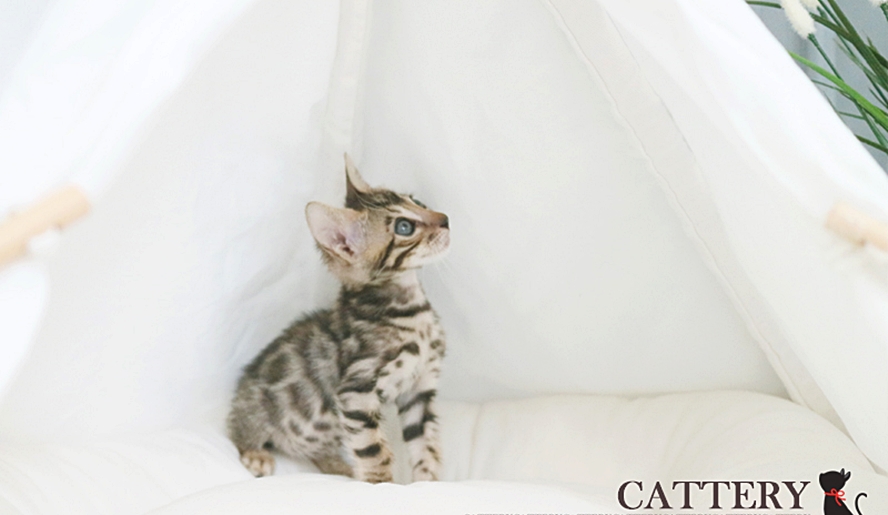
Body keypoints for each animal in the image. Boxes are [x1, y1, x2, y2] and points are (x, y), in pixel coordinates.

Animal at [227, 155, 450, 483]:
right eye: (404, 226)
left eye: (417, 201)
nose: (445, 218)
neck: (409, 311)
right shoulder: (356, 388)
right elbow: (373, 449)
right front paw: (381, 483)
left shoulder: (419, 387)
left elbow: (427, 442)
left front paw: (429, 483)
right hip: (255, 407)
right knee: (238, 430)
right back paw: (256, 454)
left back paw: (339, 466)